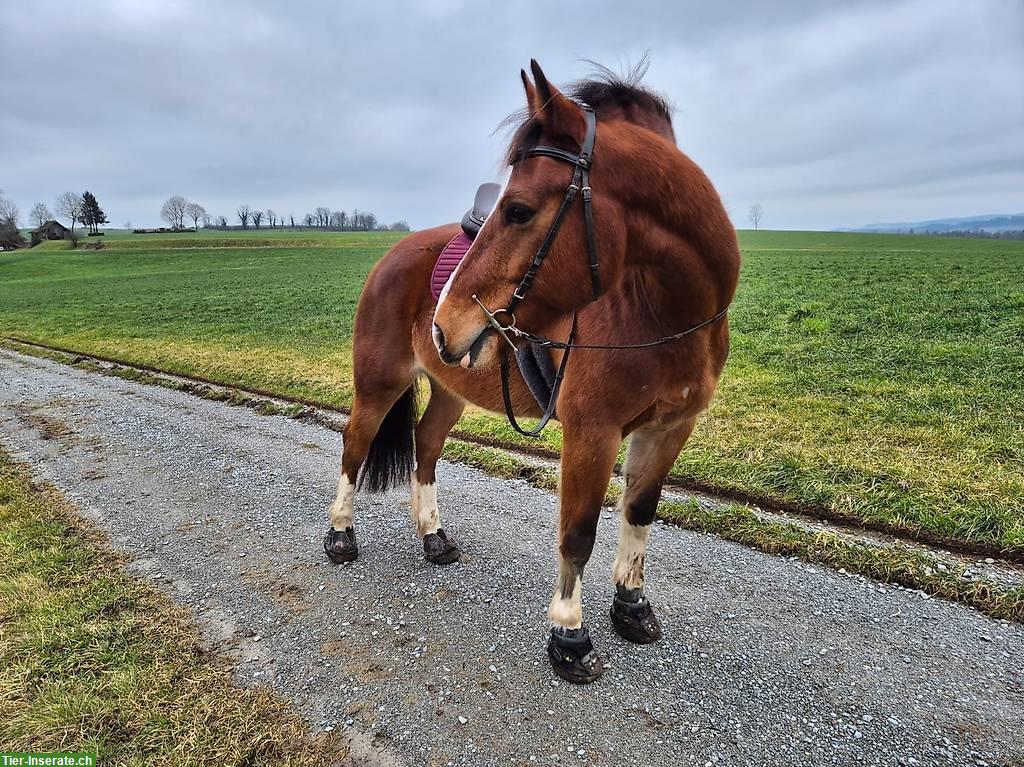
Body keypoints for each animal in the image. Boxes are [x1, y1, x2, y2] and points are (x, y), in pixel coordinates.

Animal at [323, 61, 741, 684]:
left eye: (518, 210)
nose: (447, 322)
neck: (660, 310)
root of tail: (394, 252)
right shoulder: (592, 434)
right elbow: (578, 533)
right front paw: (570, 633)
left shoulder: (668, 429)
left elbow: (638, 513)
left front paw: (632, 606)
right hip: (378, 382)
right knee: (355, 444)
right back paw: (341, 535)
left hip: (450, 388)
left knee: (426, 445)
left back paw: (434, 537)